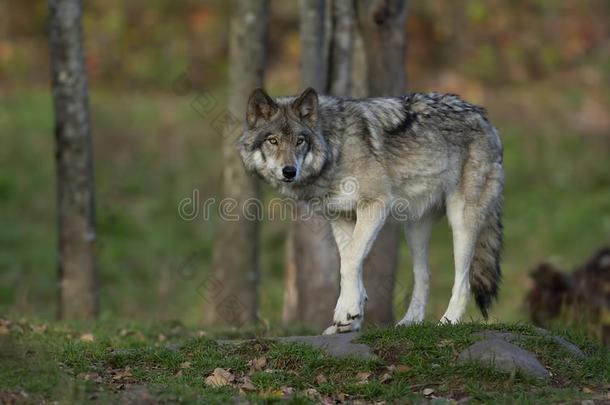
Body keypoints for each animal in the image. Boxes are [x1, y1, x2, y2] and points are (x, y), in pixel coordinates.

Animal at [235, 87, 502, 332]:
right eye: (273, 141)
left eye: (299, 141)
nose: (289, 171)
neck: (336, 148)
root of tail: (485, 117)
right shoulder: (341, 217)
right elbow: (350, 261)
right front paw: (351, 317)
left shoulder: (375, 205)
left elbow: (351, 260)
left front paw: (346, 311)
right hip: (414, 230)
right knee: (424, 276)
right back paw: (409, 322)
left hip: (461, 222)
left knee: (463, 280)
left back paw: (449, 321)